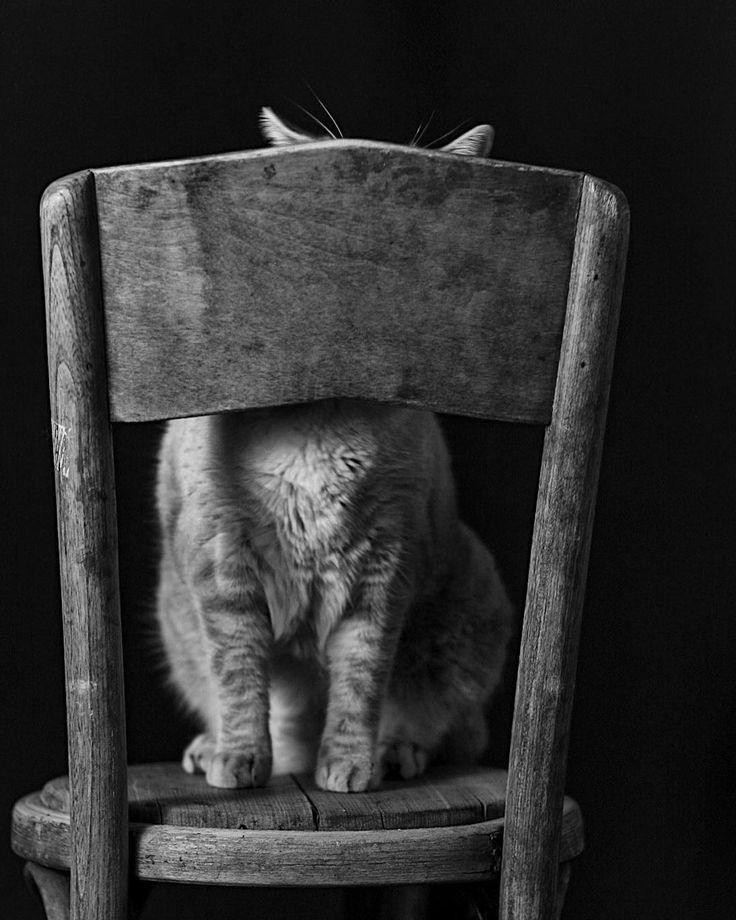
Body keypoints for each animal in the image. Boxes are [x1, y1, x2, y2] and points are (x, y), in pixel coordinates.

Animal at [155, 104, 512, 788]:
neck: (320, 421)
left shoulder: (383, 568)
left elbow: (360, 684)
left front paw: (350, 765)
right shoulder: (223, 562)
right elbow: (239, 679)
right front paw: (239, 756)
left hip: (464, 613)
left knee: (441, 720)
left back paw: (396, 750)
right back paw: (212, 748)